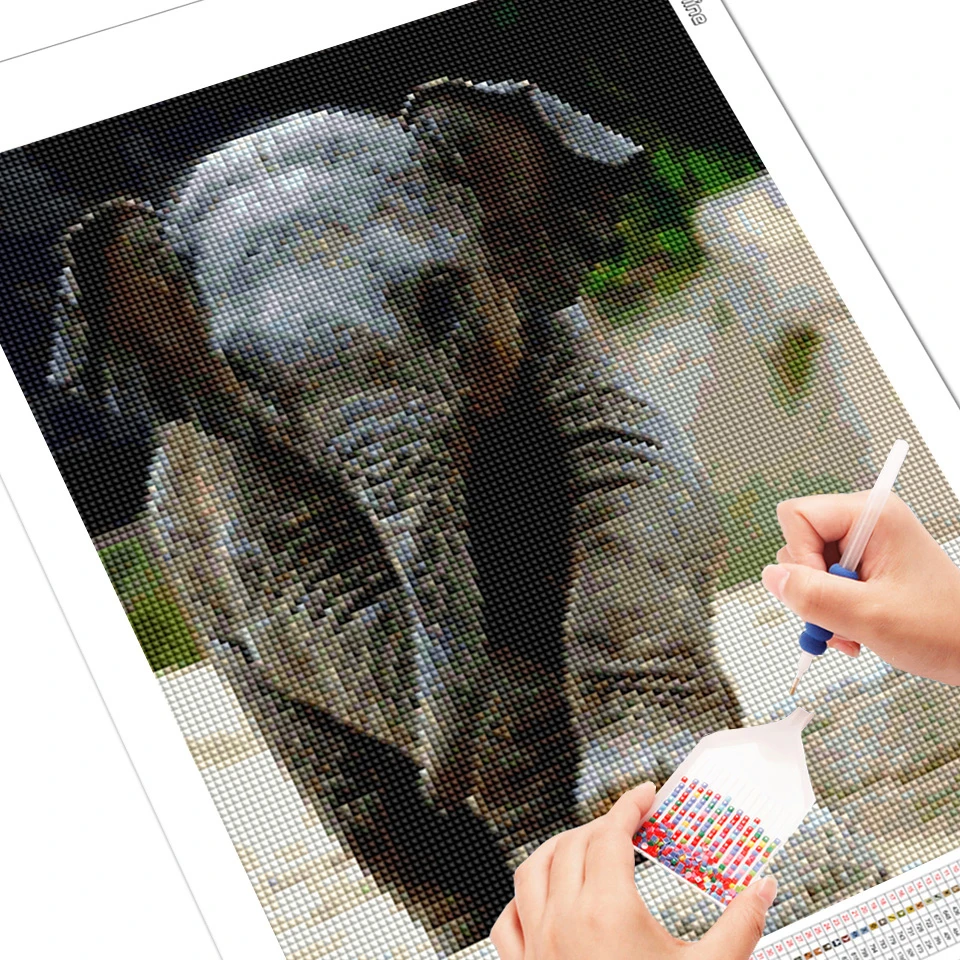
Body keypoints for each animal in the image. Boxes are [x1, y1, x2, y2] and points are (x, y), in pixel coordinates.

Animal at [49, 78, 740, 950]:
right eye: (246, 373)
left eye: (443, 300)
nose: (435, 784)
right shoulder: (250, 486)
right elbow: (331, 621)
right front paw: (572, 842)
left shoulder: (562, 346)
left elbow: (632, 477)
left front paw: (649, 785)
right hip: (229, 653)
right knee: (375, 818)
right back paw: (482, 916)